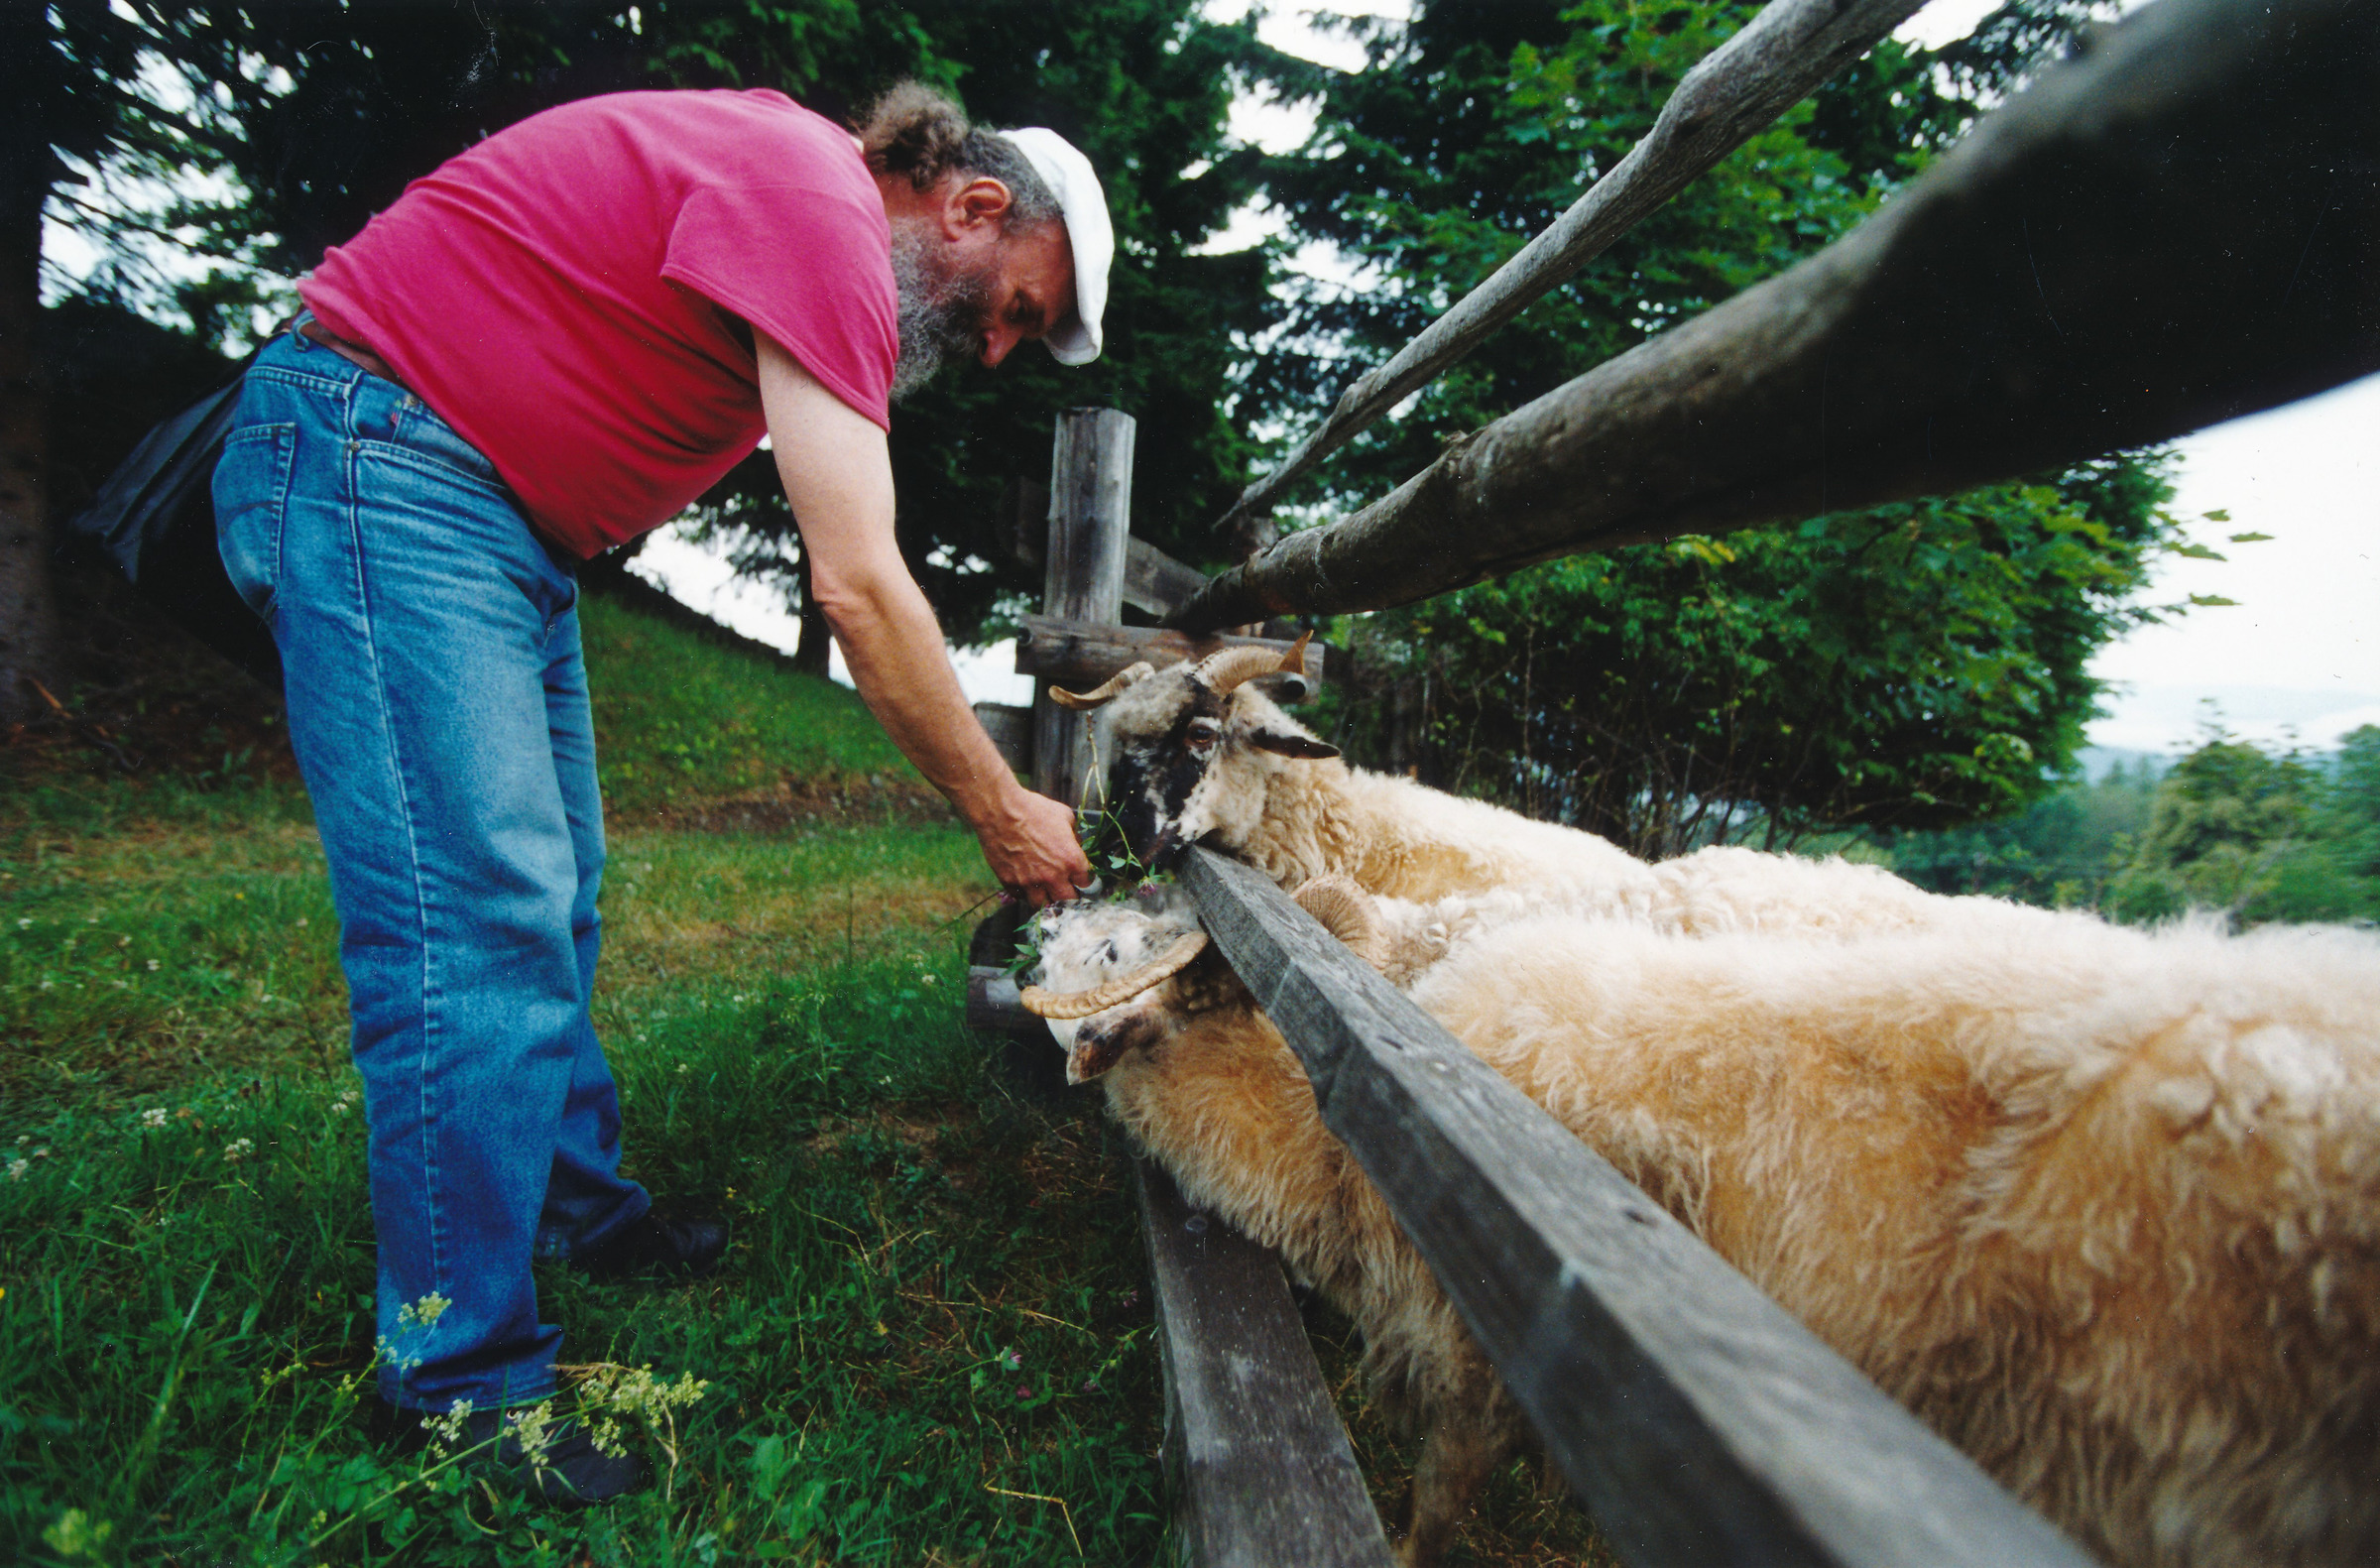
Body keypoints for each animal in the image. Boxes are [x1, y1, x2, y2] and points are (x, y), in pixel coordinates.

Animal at [1021, 882, 2380, 1568]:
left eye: (1114, 945)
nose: (1052, 909)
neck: (1340, 1118)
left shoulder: (1480, 1347)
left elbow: (1445, 1498)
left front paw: (1411, 1557)